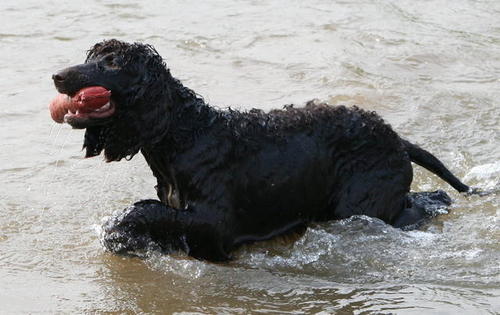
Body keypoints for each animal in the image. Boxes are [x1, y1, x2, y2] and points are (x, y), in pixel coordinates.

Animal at [50, 39, 472, 262]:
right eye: (93, 58)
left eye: (112, 63)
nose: (56, 75)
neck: (186, 133)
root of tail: (396, 137)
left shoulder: (217, 226)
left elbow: (146, 213)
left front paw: (121, 230)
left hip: (361, 203)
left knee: (424, 202)